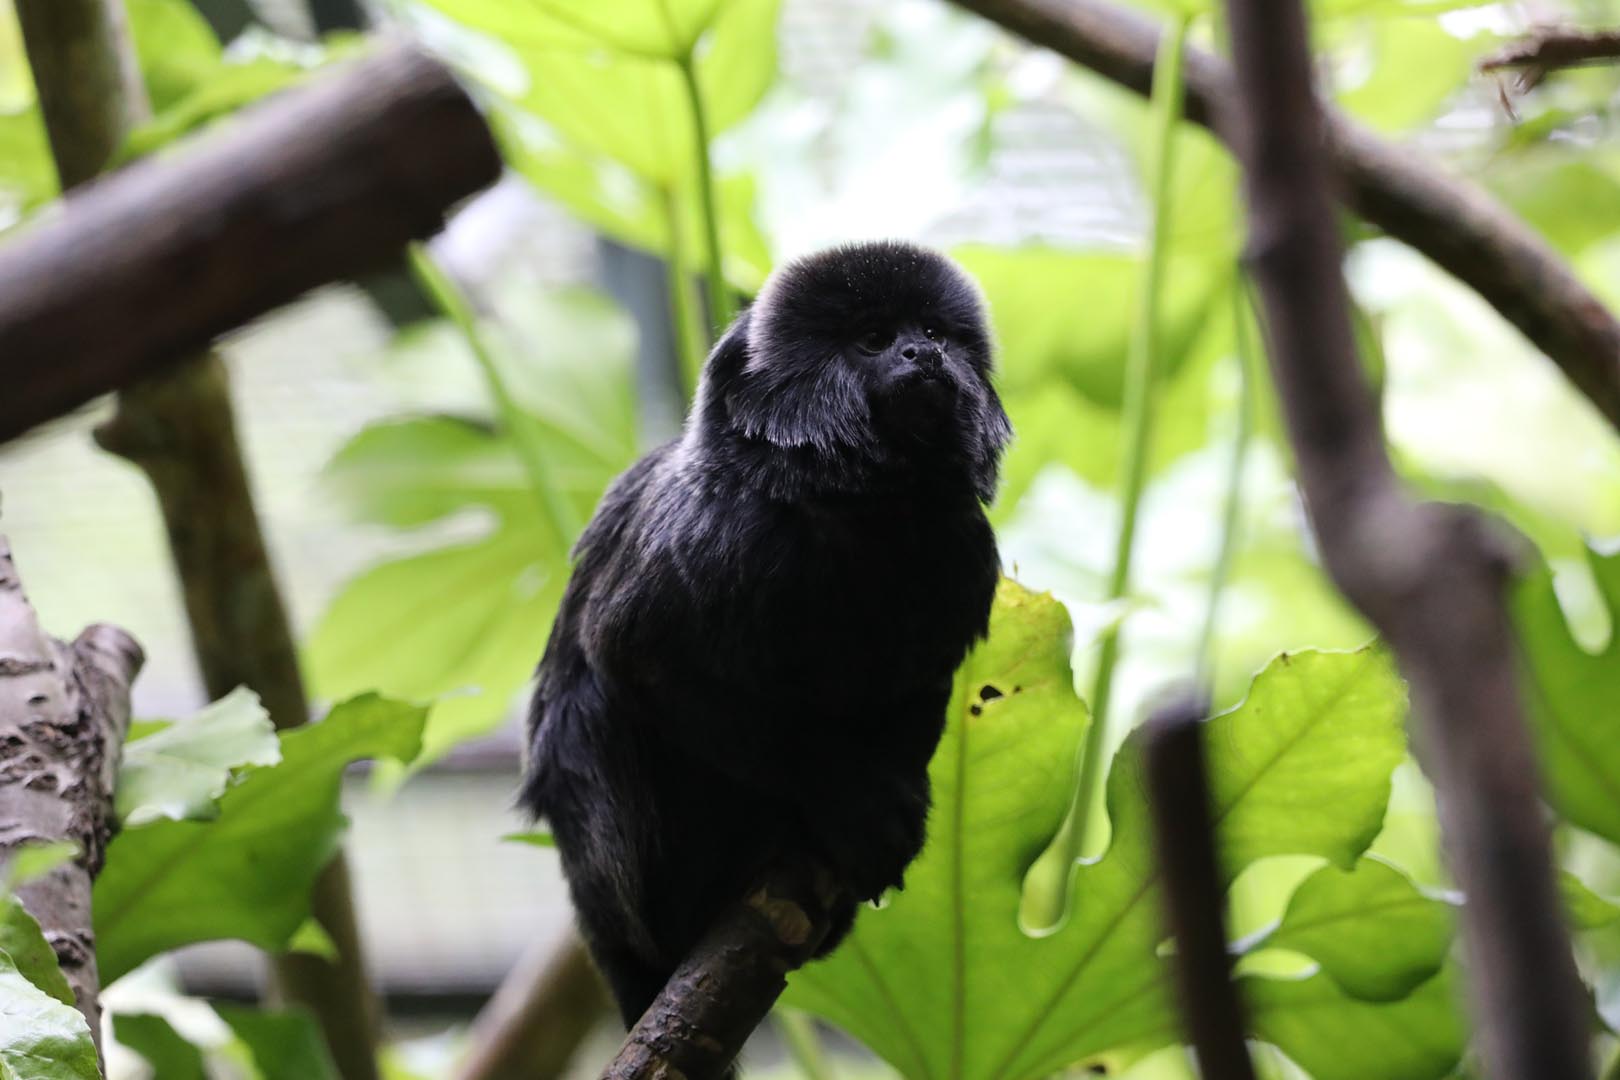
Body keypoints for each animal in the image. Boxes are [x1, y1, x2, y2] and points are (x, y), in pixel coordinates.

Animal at [520, 240, 1011, 1032]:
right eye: (874, 339)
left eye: (934, 332)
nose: (923, 354)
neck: (866, 515)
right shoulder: (718, 533)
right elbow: (633, 655)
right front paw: (848, 799)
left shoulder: (963, 555)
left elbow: (917, 678)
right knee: (592, 713)